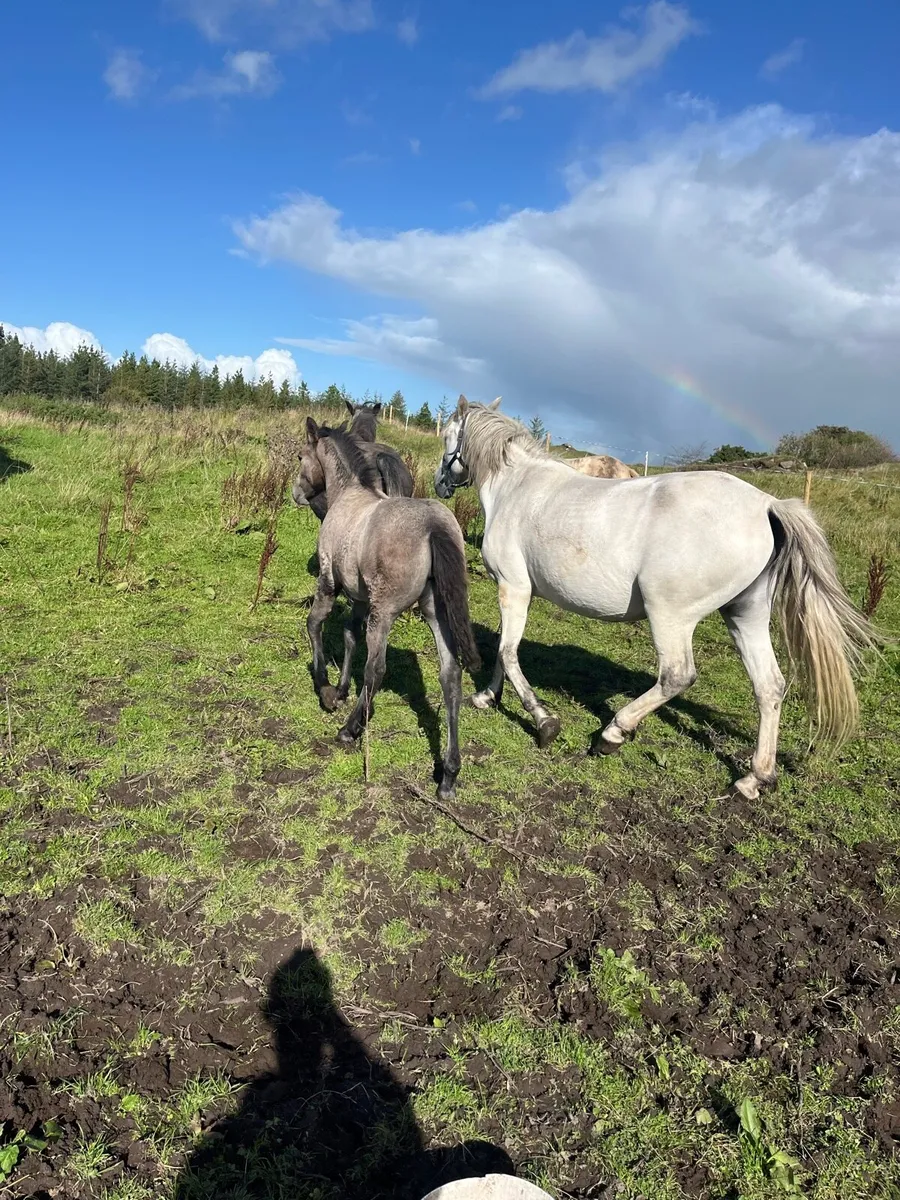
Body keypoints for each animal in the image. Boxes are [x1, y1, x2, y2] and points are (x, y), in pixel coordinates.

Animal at [297, 420, 480, 799]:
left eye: (300, 456)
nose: (297, 493)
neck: (349, 493)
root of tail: (434, 524)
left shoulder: (329, 580)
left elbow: (315, 623)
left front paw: (326, 690)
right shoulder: (358, 598)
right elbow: (349, 636)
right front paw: (341, 688)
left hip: (385, 612)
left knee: (376, 669)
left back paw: (349, 729)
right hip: (435, 612)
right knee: (450, 675)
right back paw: (449, 774)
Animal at [434, 396, 876, 801]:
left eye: (447, 435)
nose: (440, 484)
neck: (517, 487)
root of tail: (768, 504)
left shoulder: (514, 587)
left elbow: (508, 652)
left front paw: (543, 721)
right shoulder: (516, 591)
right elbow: (504, 651)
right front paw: (488, 697)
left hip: (670, 616)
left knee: (677, 676)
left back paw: (613, 733)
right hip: (744, 615)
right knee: (769, 686)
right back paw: (754, 779)